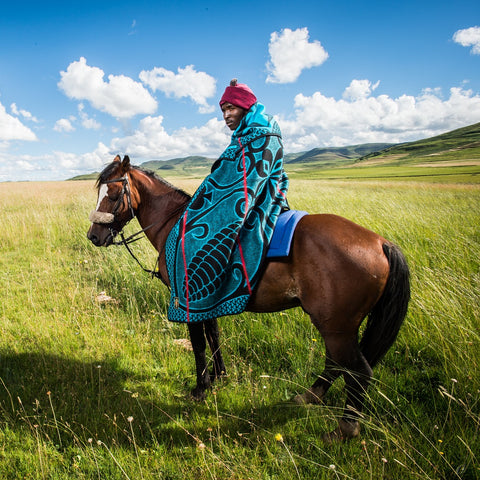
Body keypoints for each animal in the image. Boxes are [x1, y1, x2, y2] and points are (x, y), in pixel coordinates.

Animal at [85, 156, 408, 440]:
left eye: (114, 195)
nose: (94, 236)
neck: (176, 224)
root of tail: (381, 243)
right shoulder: (208, 301)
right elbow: (213, 335)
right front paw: (219, 377)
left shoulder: (188, 300)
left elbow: (198, 344)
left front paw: (200, 388)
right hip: (336, 326)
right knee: (336, 364)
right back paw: (308, 396)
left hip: (336, 327)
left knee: (359, 371)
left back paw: (345, 428)